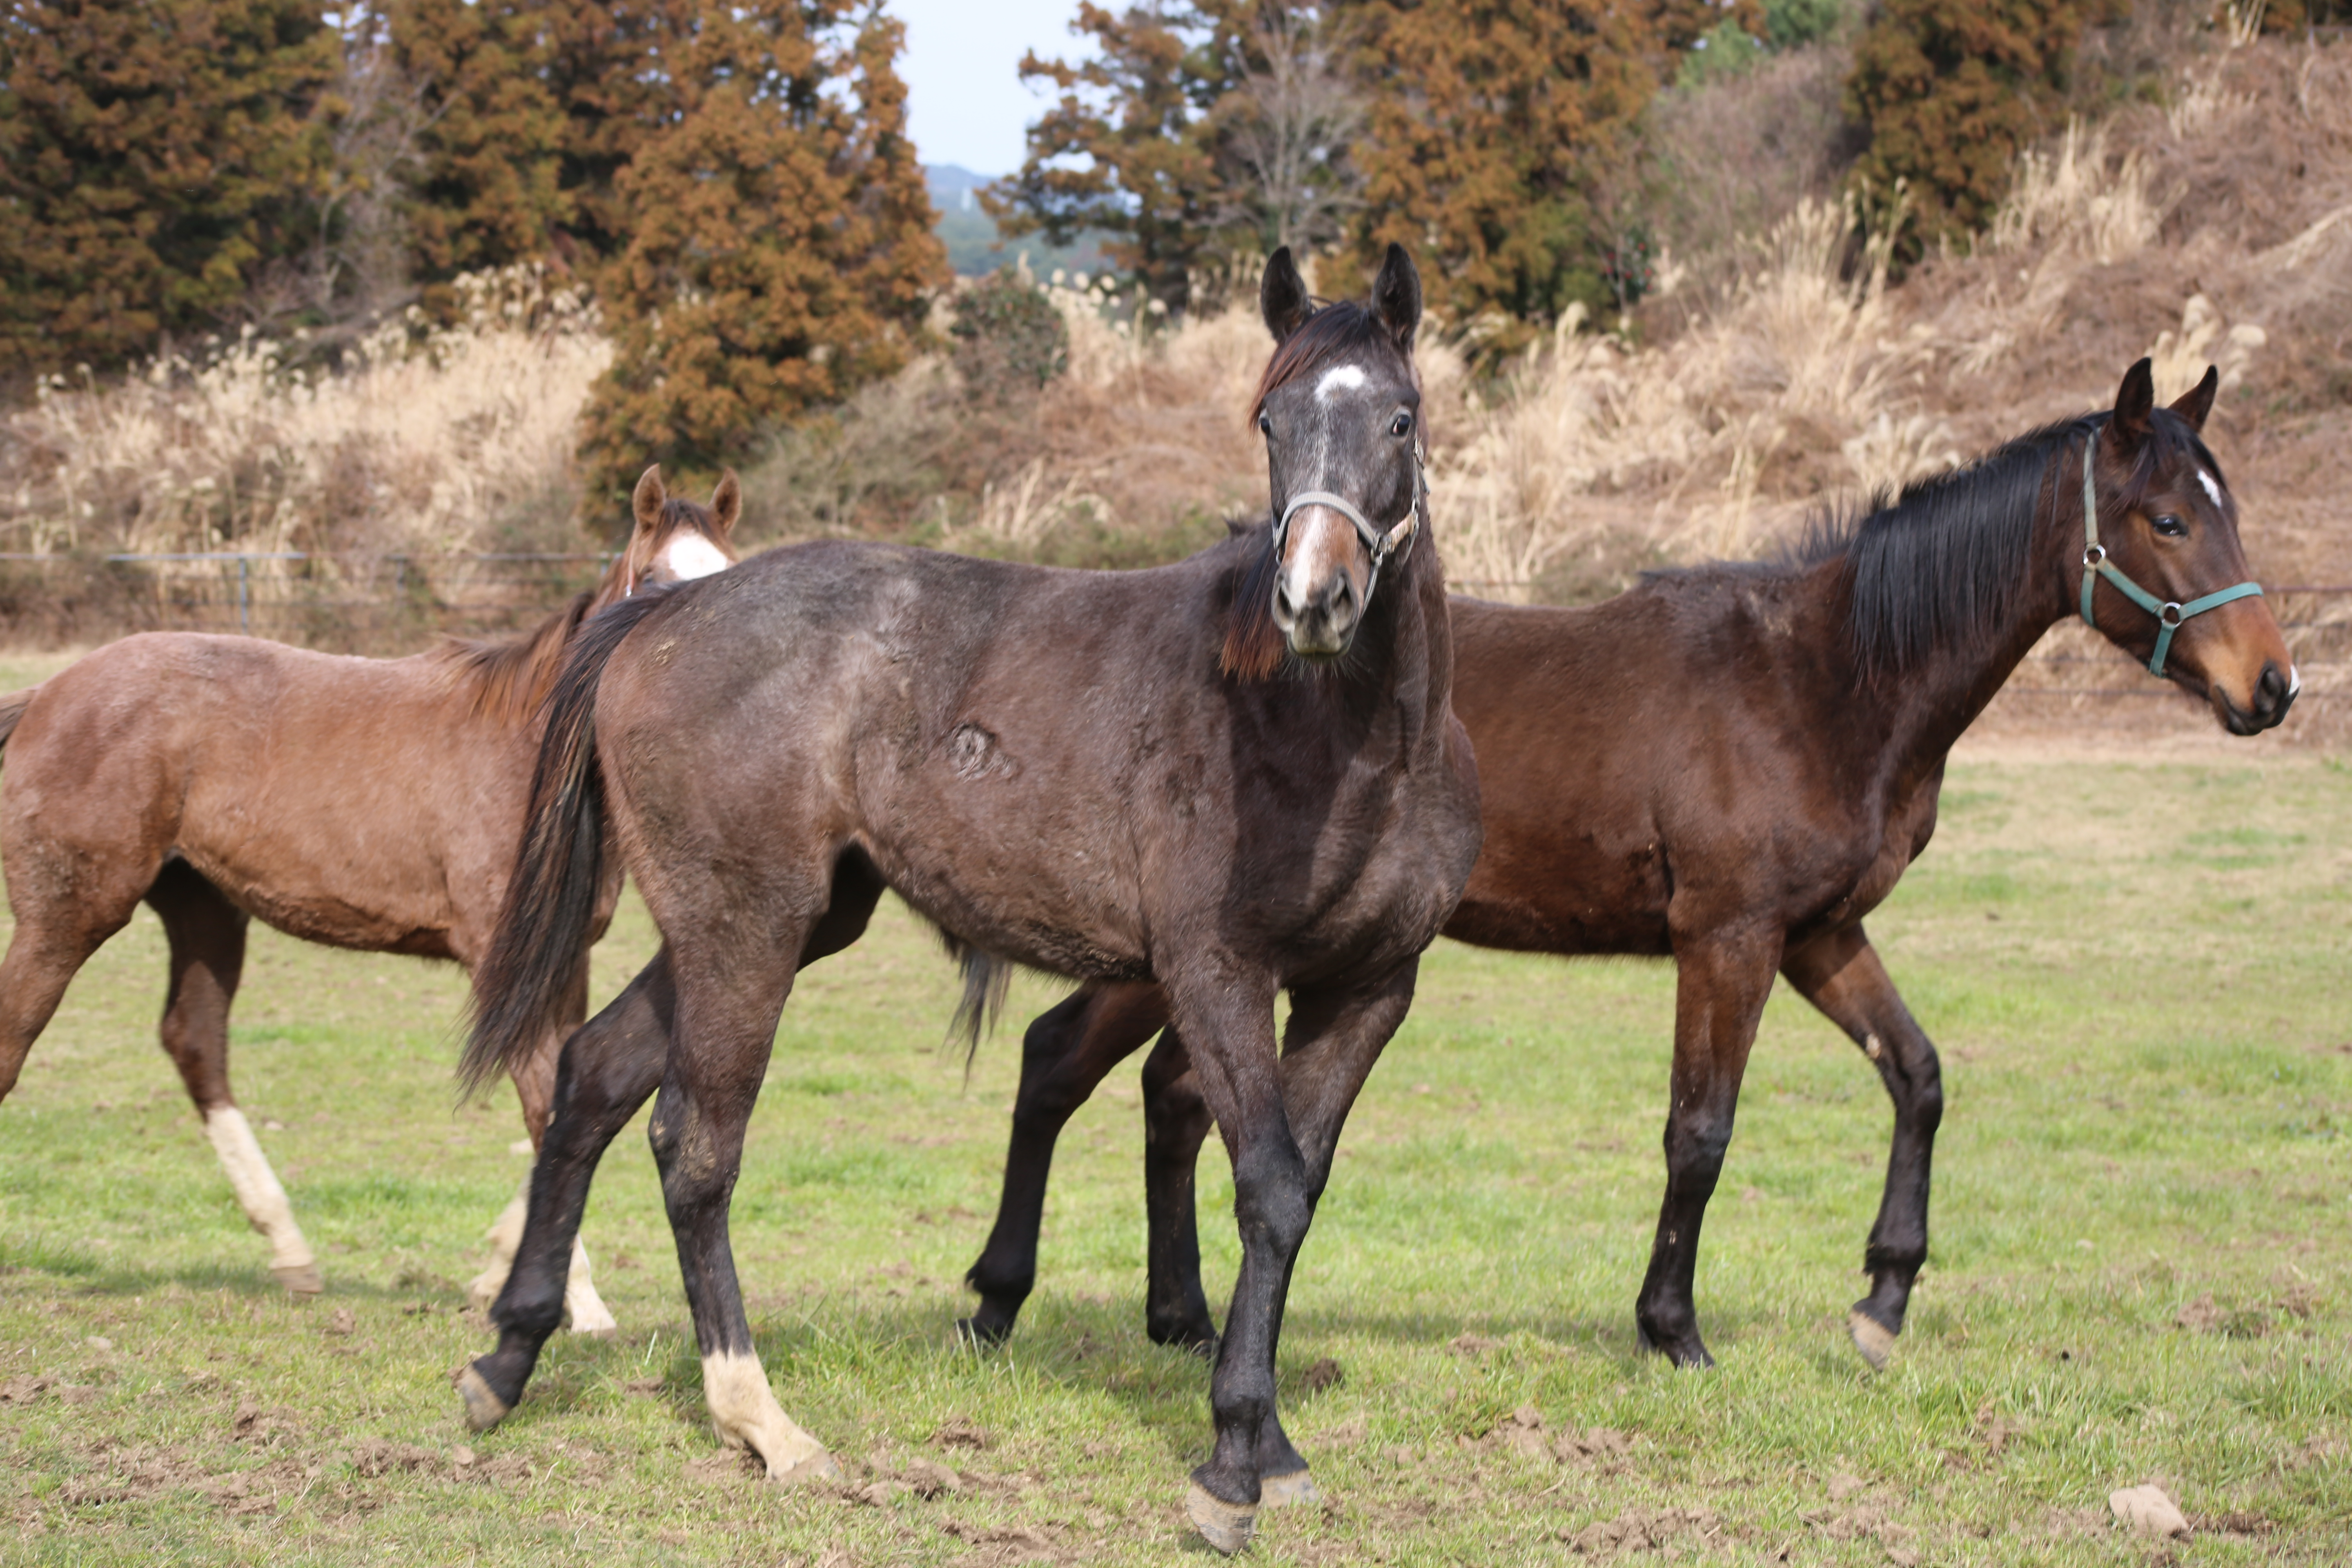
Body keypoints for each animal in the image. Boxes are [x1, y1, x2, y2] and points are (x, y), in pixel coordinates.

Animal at [0, 470, 743, 1326]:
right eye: (651, 582)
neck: (529, 753)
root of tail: (45, 694)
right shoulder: (502, 958)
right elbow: (542, 1104)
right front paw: (579, 1302)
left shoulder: (561, 964)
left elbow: (570, 1087)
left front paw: (501, 1265)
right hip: (69, 914)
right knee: (16, 1040)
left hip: (203, 908)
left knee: (194, 1041)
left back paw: (289, 1247)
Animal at [451, 248, 1477, 1561]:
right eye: (1271, 420)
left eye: (1398, 418)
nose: (1314, 600)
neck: (1338, 740)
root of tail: (658, 615)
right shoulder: (1216, 976)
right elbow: (1266, 1181)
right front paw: (1231, 1465)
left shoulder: (1364, 993)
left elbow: (1295, 1193)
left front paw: (1273, 1451)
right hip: (746, 932)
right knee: (696, 1146)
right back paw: (762, 1421)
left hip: (766, 925)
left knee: (589, 1078)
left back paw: (508, 1358)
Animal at [955, 352, 2295, 1373]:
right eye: (2166, 519)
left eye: (2225, 507)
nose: (2272, 687)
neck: (1821, 681)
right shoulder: (1728, 937)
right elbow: (1699, 1129)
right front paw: (1672, 1329)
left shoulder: (1819, 934)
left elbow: (1915, 1075)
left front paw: (1881, 1299)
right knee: (1060, 1063)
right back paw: (1000, 1300)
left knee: (1167, 1096)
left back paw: (1177, 1318)